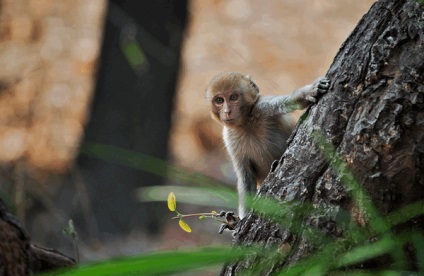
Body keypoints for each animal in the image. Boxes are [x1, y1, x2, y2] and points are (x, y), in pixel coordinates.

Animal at [206, 72, 332, 219]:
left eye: (233, 97)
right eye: (219, 100)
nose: (227, 111)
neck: (245, 124)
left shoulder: (261, 107)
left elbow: (288, 102)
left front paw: (306, 93)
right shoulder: (229, 137)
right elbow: (246, 177)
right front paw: (239, 220)